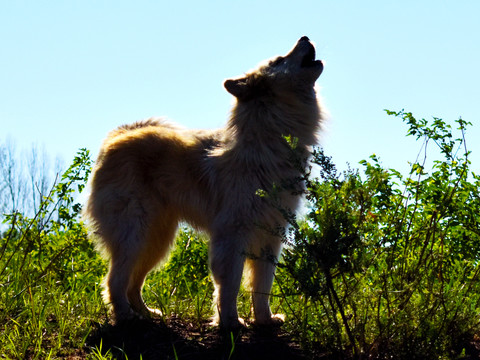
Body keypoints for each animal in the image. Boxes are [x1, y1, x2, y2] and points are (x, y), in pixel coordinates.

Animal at [84, 36, 324, 330]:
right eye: (279, 60)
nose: (305, 37)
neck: (268, 141)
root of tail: (116, 136)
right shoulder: (232, 235)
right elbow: (230, 285)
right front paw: (230, 321)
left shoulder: (271, 235)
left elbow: (262, 285)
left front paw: (264, 319)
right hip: (135, 233)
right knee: (114, 281)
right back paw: (124, 316)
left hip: (157, 240)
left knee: (133, 283)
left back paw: (147, 314)